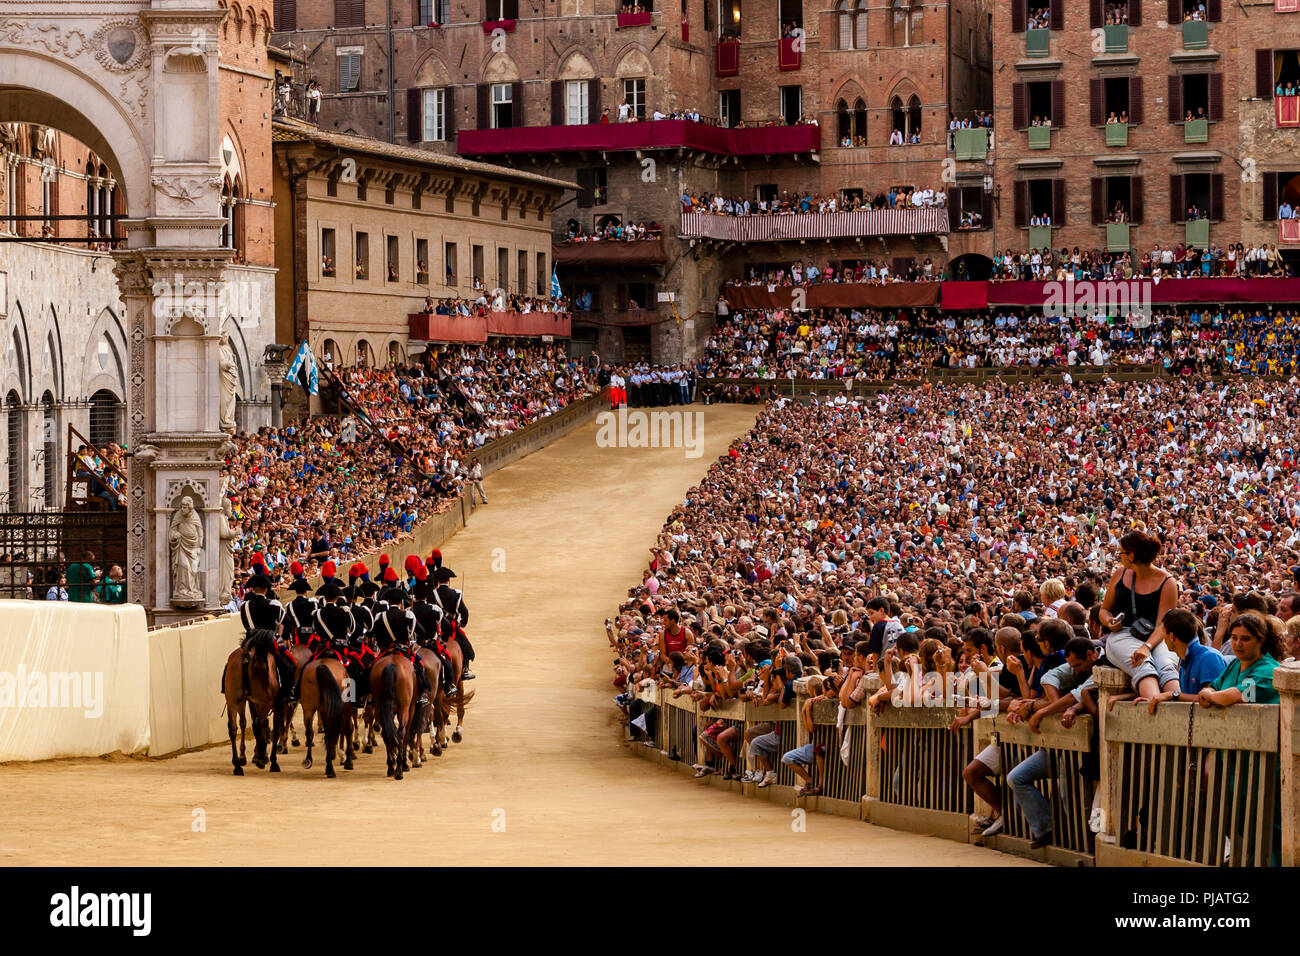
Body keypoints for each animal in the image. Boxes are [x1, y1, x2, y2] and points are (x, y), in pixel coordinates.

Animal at [222, 629, 283, 780]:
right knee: (256, 724)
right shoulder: (275, 704)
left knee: (234, 728)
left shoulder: (251, 701)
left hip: (233, 701)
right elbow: (274, 730)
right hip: (264, 702)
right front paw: (271, 760)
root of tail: (246, 656)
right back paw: (259, 758)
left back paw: (237, 765)